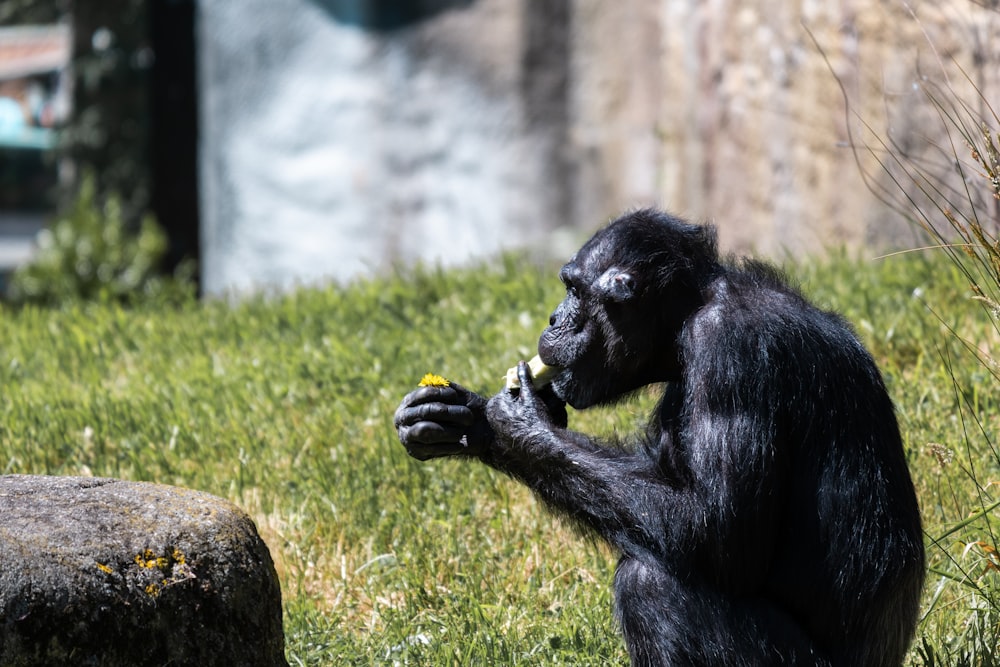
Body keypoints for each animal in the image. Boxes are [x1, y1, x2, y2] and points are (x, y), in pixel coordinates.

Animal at [394, 207, 924, 664]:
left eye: (572, 289)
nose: (552, 319)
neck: (688, 315)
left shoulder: (729, 352)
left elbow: (716, 527)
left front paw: (519, 421)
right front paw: (467, 420)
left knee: (649, 584)